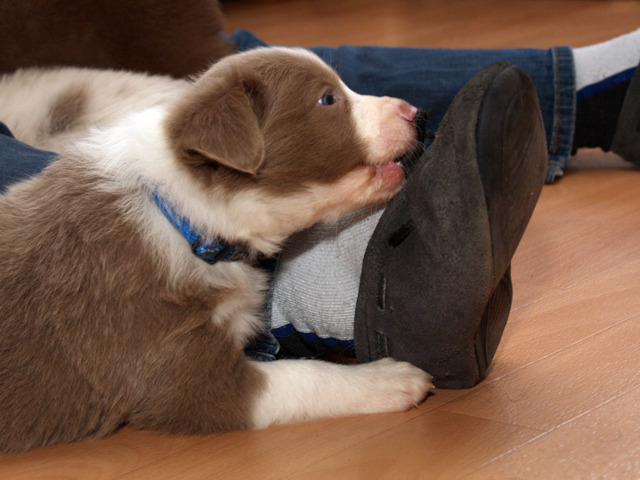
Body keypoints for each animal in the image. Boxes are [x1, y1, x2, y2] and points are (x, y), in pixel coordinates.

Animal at [0, 47, 433, 453]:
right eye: (326, 99)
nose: (417, 113)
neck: (184, 218)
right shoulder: (181, 370)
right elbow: (306, 375)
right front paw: (387, 378)